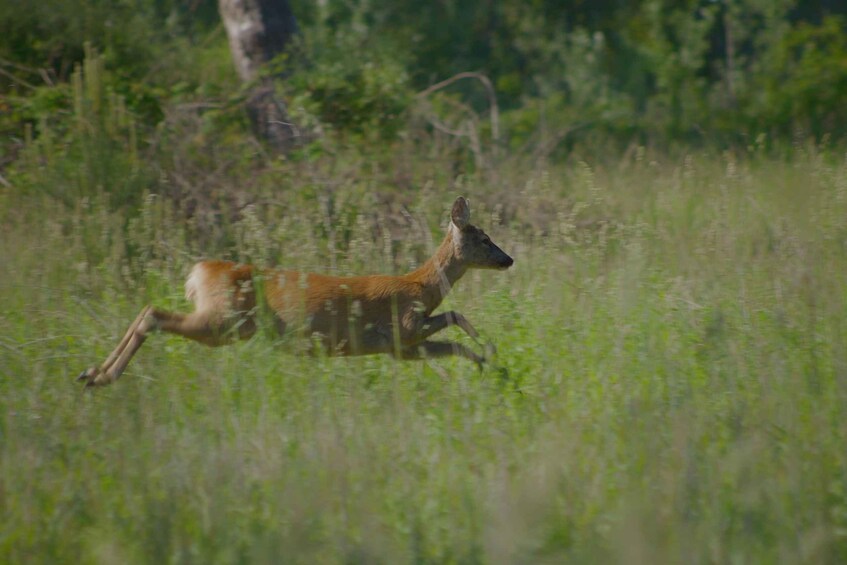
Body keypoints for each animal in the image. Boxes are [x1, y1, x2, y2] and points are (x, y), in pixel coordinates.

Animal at [77, 196, 514, 387]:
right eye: (484, 238)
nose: (508, 259)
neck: (420, 285)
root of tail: (199, 272)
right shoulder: (402, 326)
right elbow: (454, 316)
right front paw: (488, 348)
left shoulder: (400, 348)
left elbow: (451, 341)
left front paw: (487, 361)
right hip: (224, 322)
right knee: (153, 314)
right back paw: (103, 376)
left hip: (225, 322)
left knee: (147, 310)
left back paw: (92, 373)